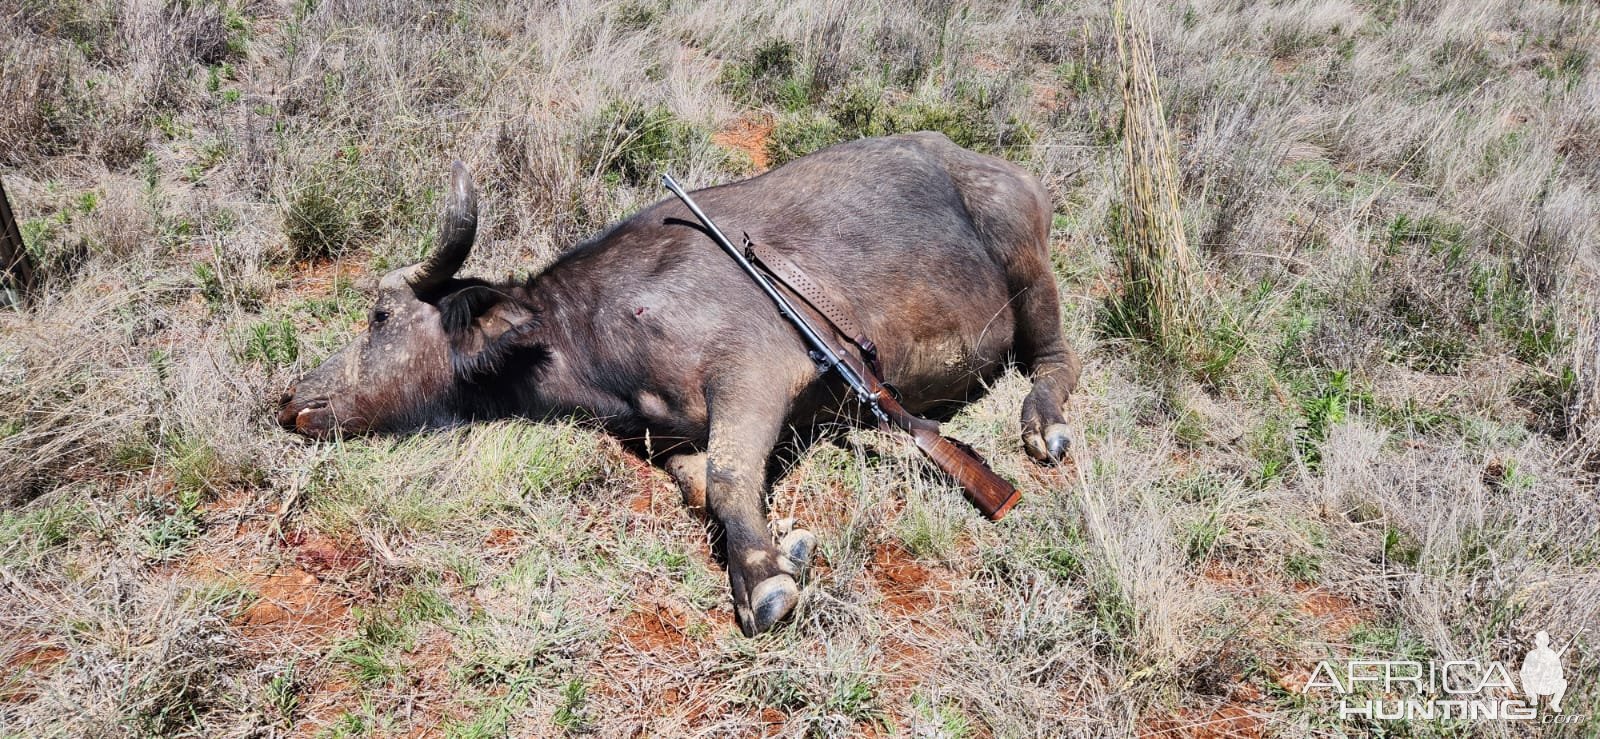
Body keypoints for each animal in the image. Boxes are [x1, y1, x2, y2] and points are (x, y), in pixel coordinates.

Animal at [278, 132, 1075, 636]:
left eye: (380, 314)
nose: (291, 401)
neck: (594, 330)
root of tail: (991, 166)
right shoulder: (669, 436)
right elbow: (699, 485)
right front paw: (777, 547)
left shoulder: (757, 372)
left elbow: (726, 476)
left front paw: (764, 580)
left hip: (1029, 266)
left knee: (1055, 360)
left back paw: (1042, 427)